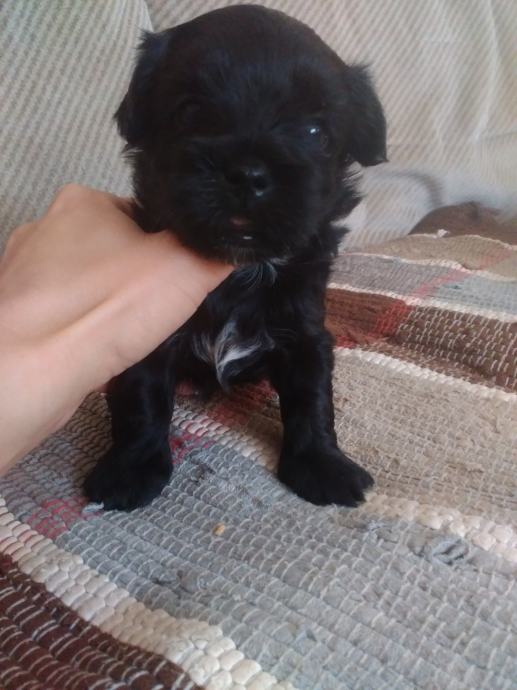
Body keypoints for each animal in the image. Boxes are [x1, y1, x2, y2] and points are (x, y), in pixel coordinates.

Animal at [84, 5, 387, 510]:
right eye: (189, 112)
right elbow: (140, 395)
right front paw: (132, 468)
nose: (248, 173)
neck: (238, 271)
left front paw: (322, 465)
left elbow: (312, 397)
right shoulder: (147, 327)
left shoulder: (306, 331)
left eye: (315, 132)